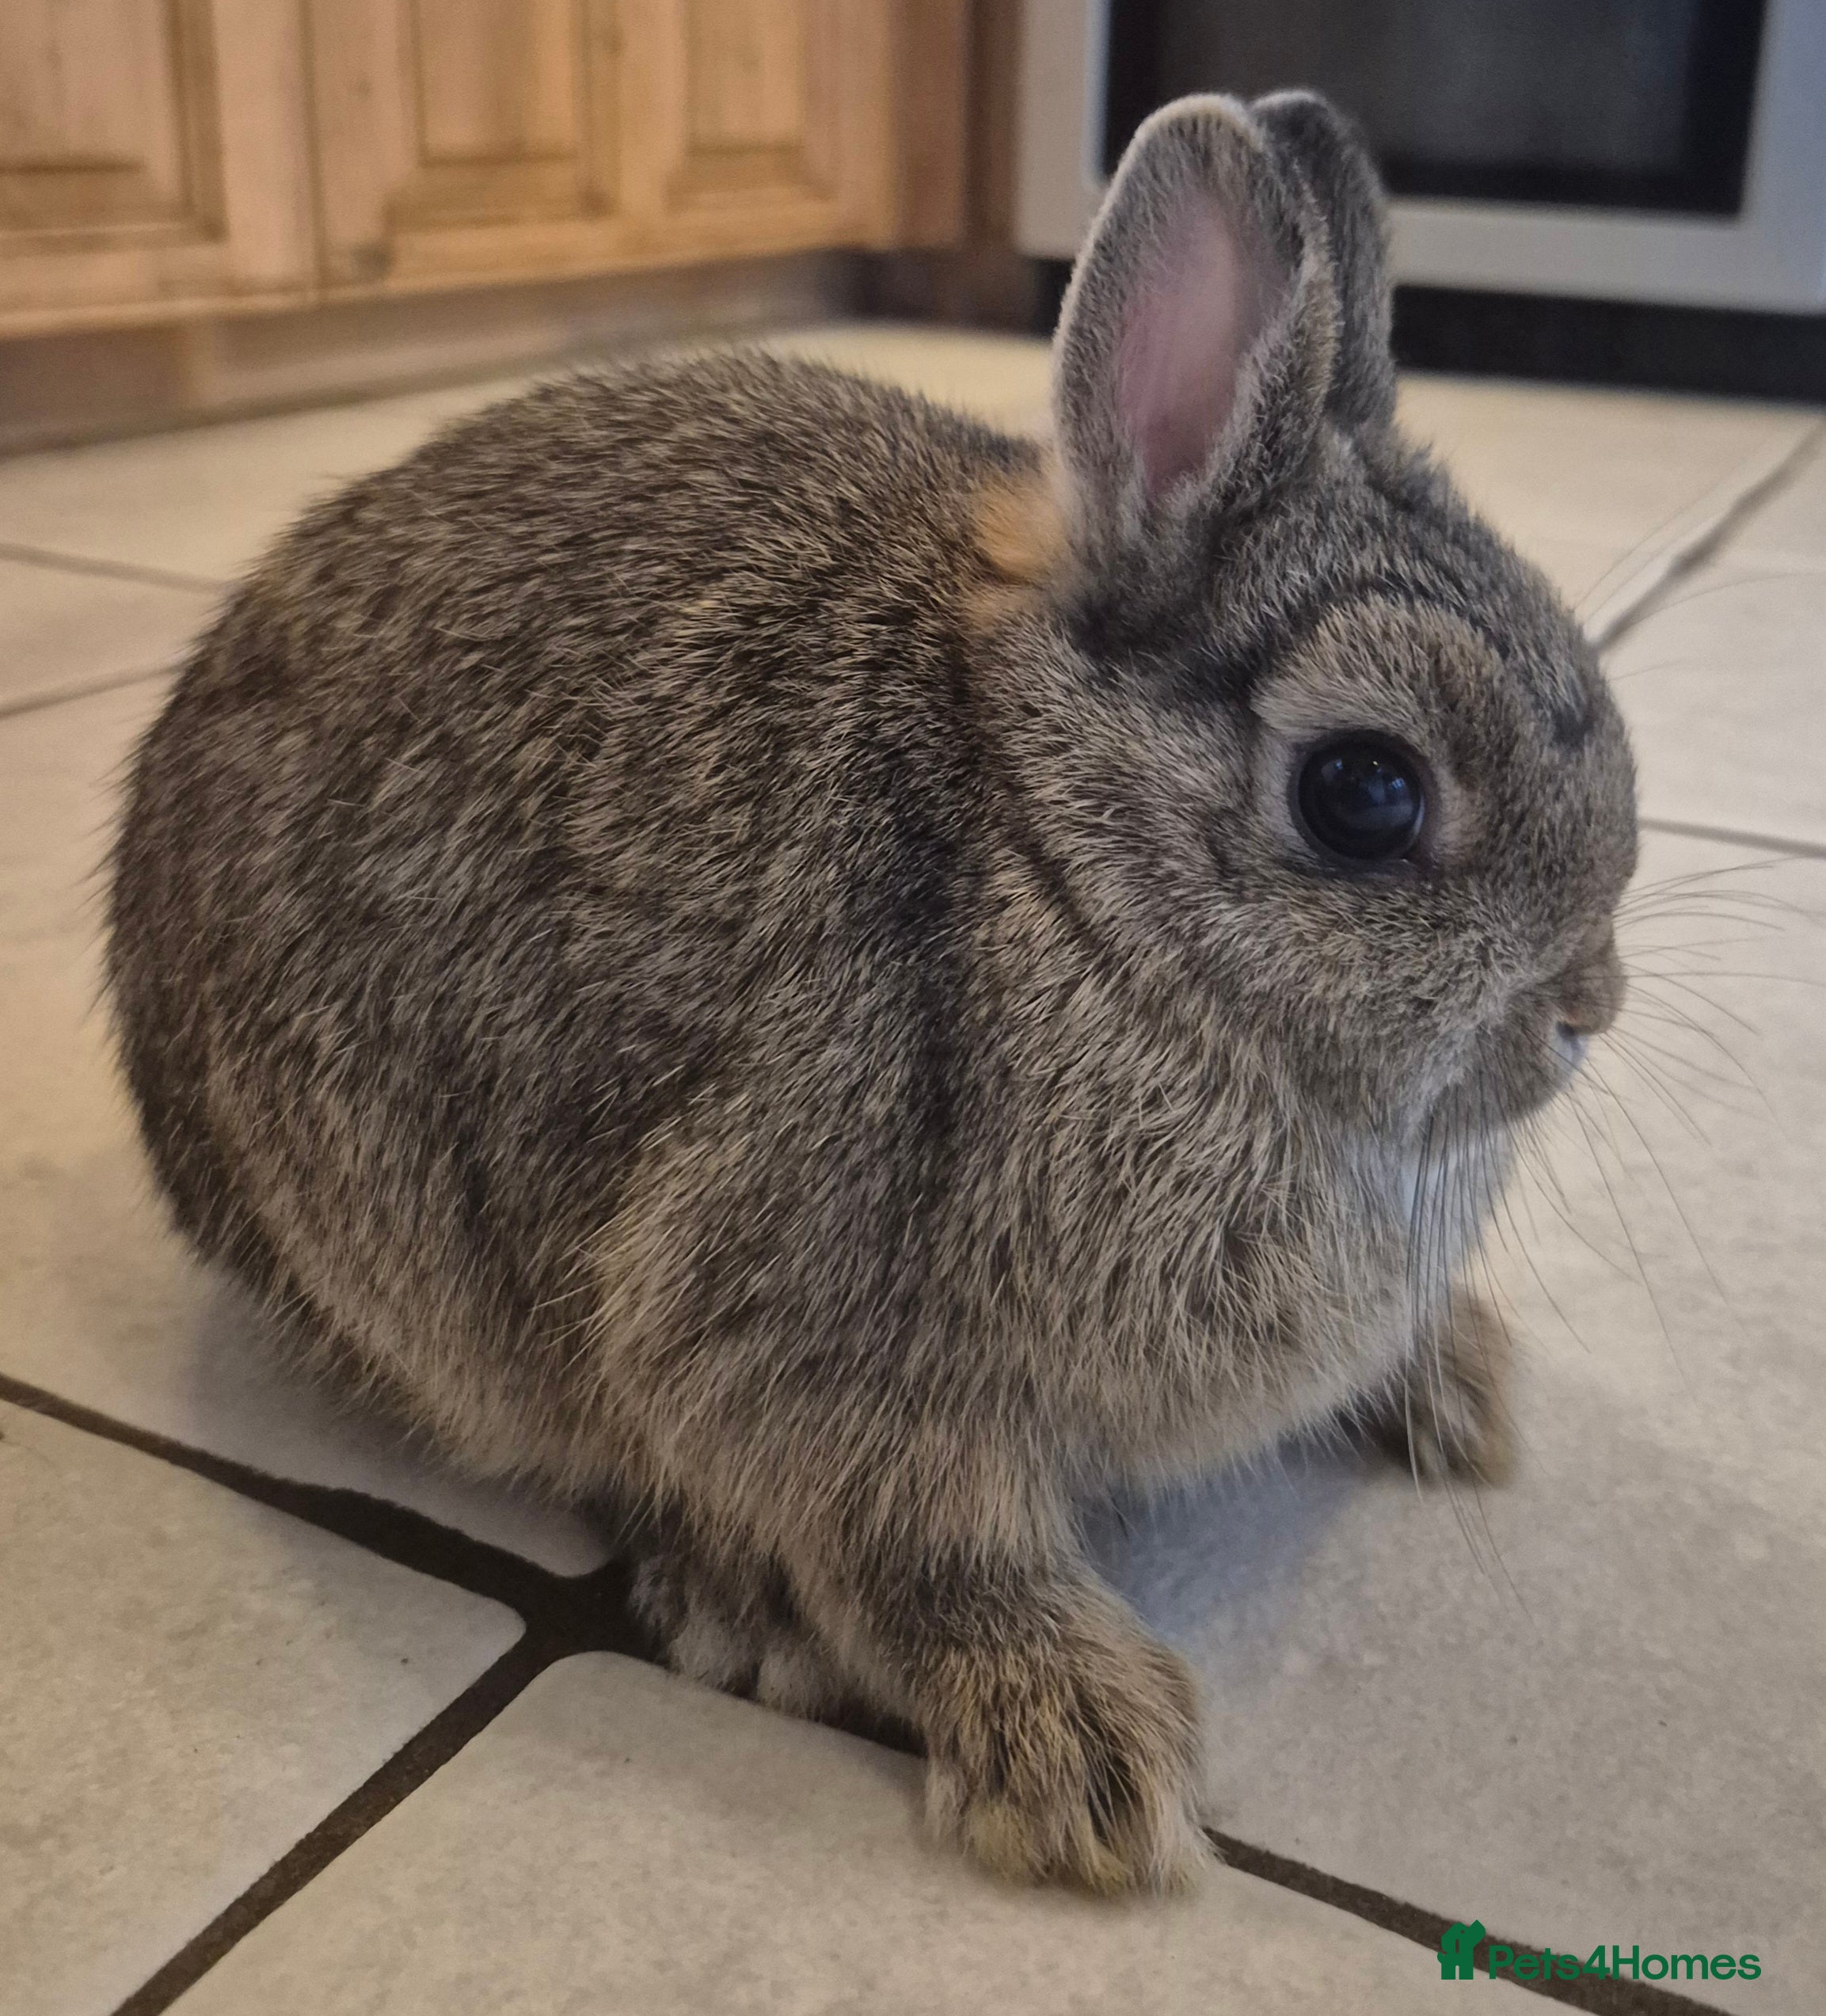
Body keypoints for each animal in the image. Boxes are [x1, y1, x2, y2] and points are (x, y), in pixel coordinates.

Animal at [107, 91, 1636, 1894]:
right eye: (1366, 793)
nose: (1582, 1009)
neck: (1068, 871)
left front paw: (1453, 1389)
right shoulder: (806, 1318)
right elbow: (922, 1547)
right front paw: (1085, 1763)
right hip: (403, 1241)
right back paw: (742, 1610)